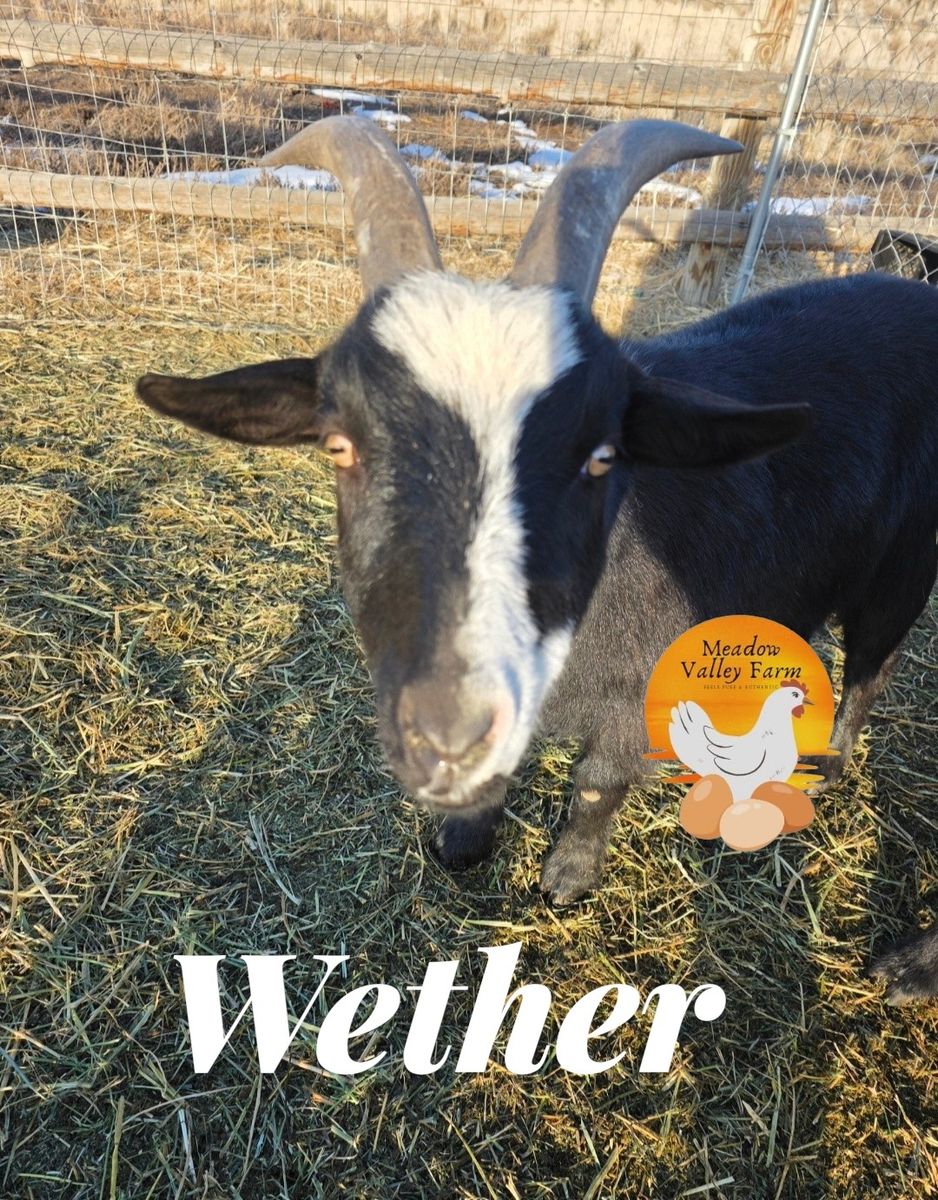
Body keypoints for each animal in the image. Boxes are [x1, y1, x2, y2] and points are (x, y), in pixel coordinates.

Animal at [136, 117, 938, 1003]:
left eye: (600, 457)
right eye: (339, 445)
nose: (445, 724)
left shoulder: (632, 699)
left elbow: (595, 786)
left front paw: (566, 879)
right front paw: (462, 843)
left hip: (902, 571)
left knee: (872, 668)